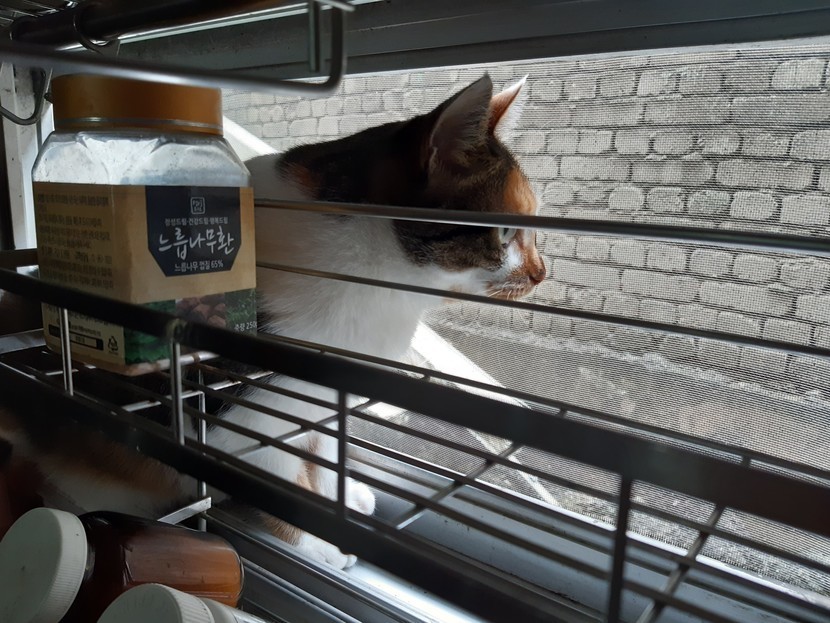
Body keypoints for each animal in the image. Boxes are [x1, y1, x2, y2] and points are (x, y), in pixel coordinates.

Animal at [0, 74, 546, 568]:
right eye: (505, 232)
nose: (542, 273)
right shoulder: (245, 419)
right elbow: (281, 476)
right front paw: (319, 545)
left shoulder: (323, 400)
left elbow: (323, 450)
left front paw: (343, 496)